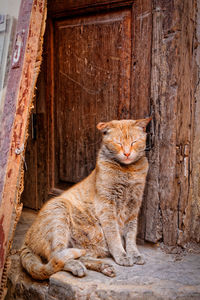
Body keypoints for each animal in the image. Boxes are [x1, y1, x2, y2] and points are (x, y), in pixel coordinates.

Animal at [20, 117, 152, 278]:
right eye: (118, 143)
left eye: (134, 142)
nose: (127, 153)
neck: (127, 171)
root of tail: (26, 238)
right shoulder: (107, 207)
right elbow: (114, 235)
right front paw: (122, 255)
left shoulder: (134, 207)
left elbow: (131, 235)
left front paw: (134, 254)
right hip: (59, 213)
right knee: (57, 257)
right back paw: (78, 267)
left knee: (79, 255)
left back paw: (104, 267)